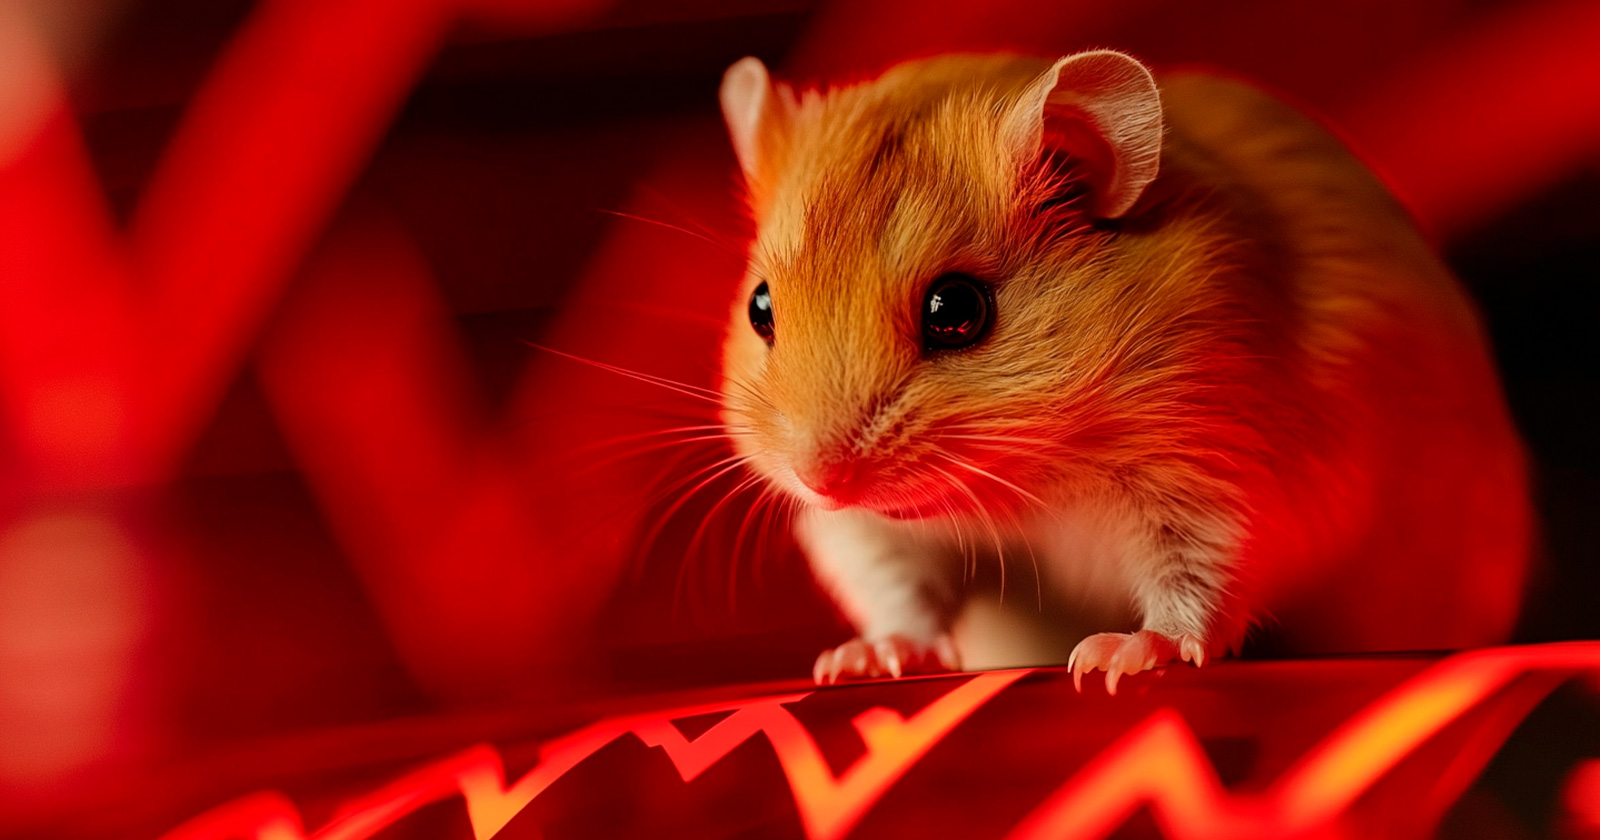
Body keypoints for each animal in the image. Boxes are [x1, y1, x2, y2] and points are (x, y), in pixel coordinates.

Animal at [713, 50, 1531, 691]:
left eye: (956, 309)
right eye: (760, 307)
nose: (820, 480)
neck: (1034, 480)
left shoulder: (1222, 479)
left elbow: (1193, 589)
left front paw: (1114, 660)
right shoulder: (874, 537)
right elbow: (903, 596)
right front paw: (854, 661)